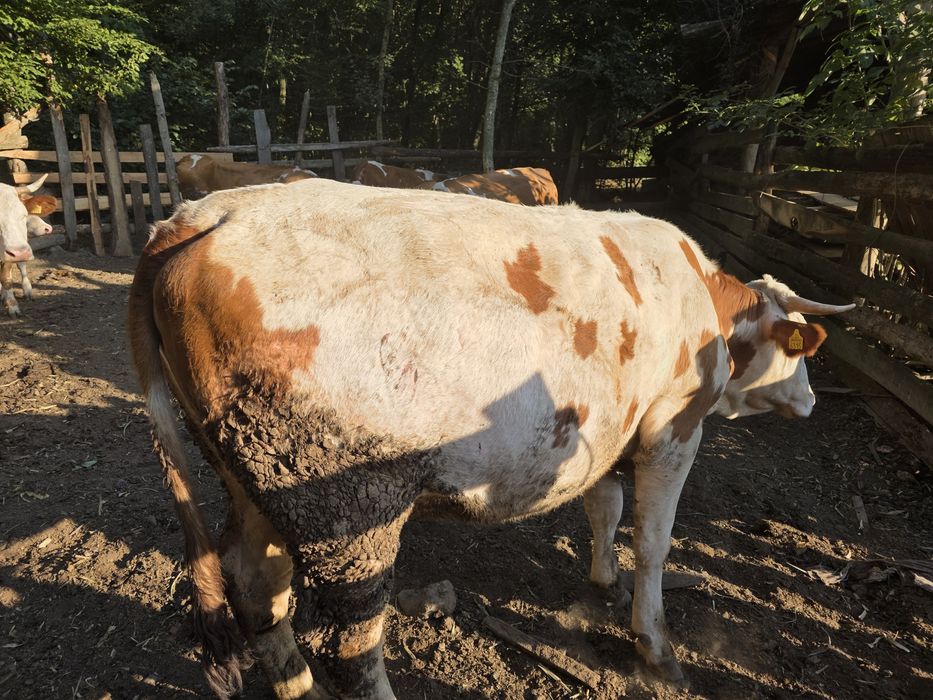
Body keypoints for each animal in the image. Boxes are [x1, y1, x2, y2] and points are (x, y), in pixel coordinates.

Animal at [128, 179, 853, 699]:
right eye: (803, 353)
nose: (814, 400)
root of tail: (195, 217)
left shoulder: (607, 432)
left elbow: (604, 507)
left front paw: (602, 581)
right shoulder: (673, 425)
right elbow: (653, 542)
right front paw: (655, 645)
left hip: (259, 473)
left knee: (256, 585)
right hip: (347, 503)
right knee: (350, 648)